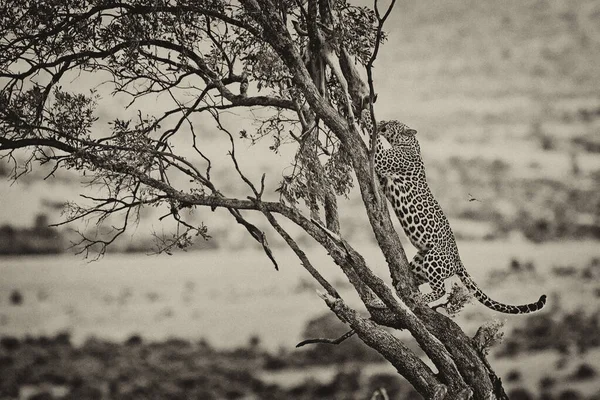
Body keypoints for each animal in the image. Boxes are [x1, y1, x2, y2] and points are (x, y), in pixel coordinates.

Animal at [360, 111, 548, 314]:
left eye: (394, 122)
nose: (383, 121)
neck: (410, 143)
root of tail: (458, 261)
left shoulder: (384, 161)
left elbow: (376, 144)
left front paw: (366, 117)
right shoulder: (383, 179)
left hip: (433, 259)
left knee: (439, 290)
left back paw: (421, 298)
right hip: (420, 262)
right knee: (403, 286)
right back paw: (380, 302)